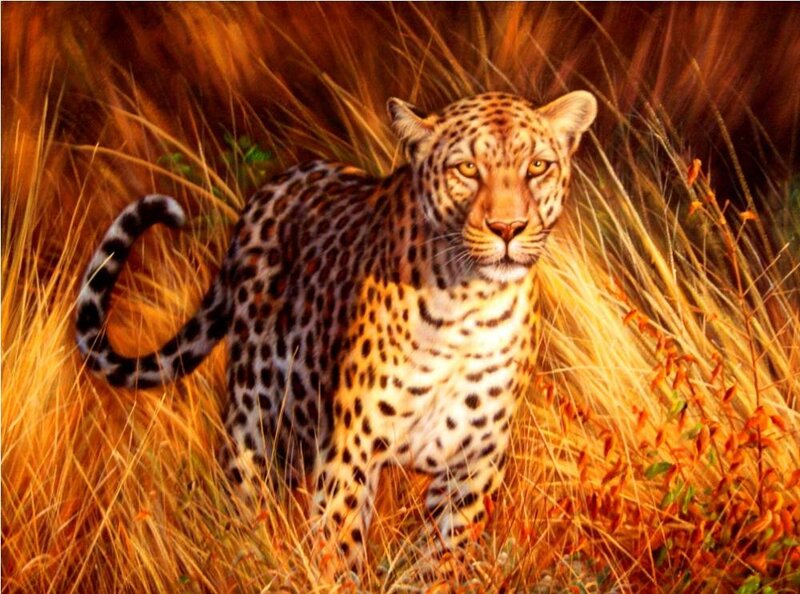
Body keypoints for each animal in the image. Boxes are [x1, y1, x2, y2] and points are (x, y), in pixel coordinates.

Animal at [75, 90, 597, 572]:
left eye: (538, 166)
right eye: (467, 169)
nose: (508, 227)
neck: (468, 307)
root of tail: (272, 188)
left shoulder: (474, 462)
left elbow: (442, 555)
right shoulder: (351, 448)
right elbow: (338, 544)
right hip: (258, 420)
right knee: (242, 505)